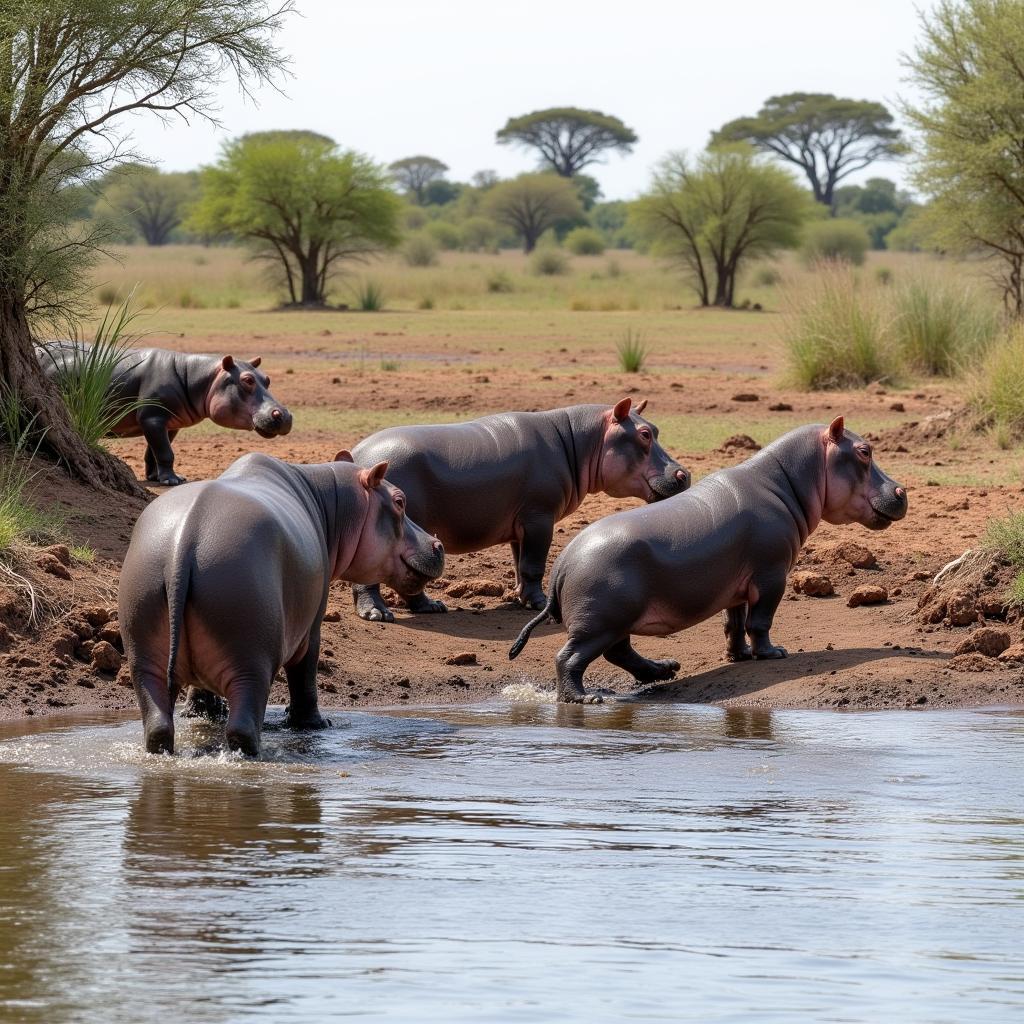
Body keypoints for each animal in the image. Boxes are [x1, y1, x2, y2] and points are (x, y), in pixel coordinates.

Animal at [36, 342, 292, 485]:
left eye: (267, 379)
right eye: (247, 380)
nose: (286, 415)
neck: (199, 378)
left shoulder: (170, 424)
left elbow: (154, 451)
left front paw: (154, 477)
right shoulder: (153, 417)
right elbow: (165, 452)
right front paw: (173, 481)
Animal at [117, 448, 444, 753]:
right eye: (400, 501)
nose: (438, 544)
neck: (333, 503)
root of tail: (183, 542)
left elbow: (201, 690)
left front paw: (202, 714)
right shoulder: (312, 625)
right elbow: (305, 675)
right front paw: (316, 724)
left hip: (144, 654)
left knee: (158, 723)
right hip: (251, 659)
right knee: (243, 725)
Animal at [348, 397, 692, 622]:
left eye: (656, 428)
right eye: (644, 434)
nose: (684, 474)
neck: (580, 441)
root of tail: (355, 456)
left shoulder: (519, 526)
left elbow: (518, 563)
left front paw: (519, 598)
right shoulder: (539, 517)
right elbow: (533, 565)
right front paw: (539, 604)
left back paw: (432, 607)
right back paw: (378, 614)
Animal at [507, 415, 909, 704]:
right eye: (864, 451)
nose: (902, 490)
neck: (787, 481)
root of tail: (562, 562)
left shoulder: (739, 585)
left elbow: (734, 622)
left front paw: (739, 656)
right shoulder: (771, 576)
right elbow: (760, 621)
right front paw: (773, 654)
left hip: (615, 619)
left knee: (620, 653)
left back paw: (666, 670)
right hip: (599, 621)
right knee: (570, 658)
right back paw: (585, 699)